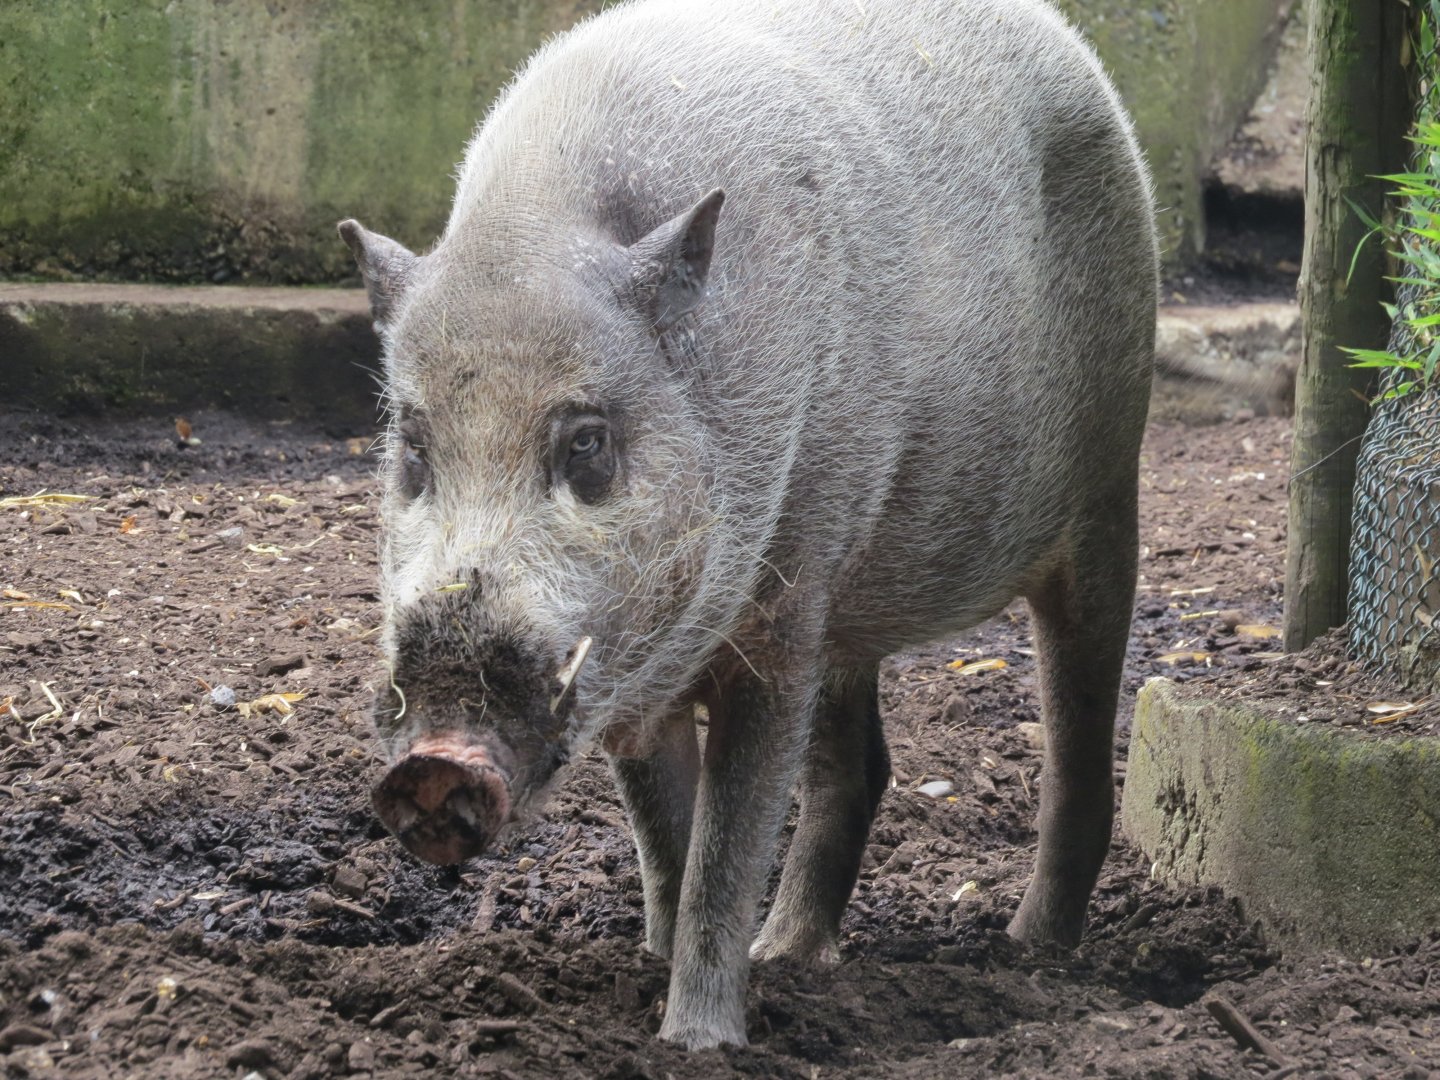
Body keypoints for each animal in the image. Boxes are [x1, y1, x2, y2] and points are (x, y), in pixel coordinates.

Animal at [340, 0, 1156, 1051]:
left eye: (588, 445)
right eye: (412, 448)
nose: (436, 762)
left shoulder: (780, 606)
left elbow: (730, 842)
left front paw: (696, 1042)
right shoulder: (643, 669)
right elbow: (668, 837)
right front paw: (659, 972)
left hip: (1105, 488)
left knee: (1078, 734)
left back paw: (1032, 949)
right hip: (847, 596)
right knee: (859, 766)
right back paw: (793, 956)